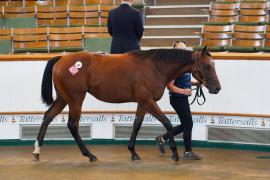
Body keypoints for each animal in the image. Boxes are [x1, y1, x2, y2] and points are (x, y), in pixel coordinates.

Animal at [32, 46, 220, 162]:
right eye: (207, 66)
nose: (217, 88)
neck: (155, 67)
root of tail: (62, 59)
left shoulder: (143, 103)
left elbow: (137, 124)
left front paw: (133, 152)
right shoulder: (148, 101)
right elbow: (167, 122)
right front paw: (174, 153)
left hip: (63, 98)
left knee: (48, 117)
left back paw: (36, 151)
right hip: (75, 99)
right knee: (72, 125)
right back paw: (89, 154)